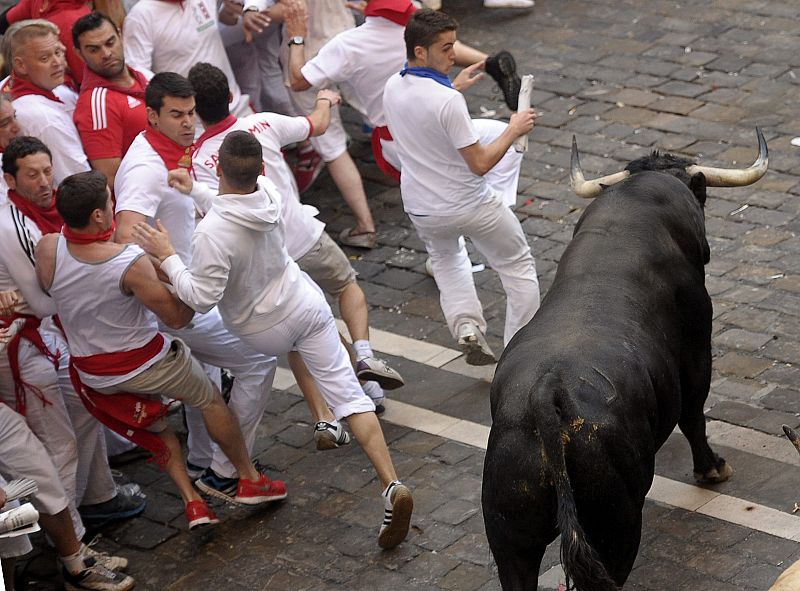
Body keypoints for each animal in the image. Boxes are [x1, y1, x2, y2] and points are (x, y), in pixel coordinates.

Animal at [482, 135, 768, 591]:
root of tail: (547, 393)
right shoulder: (697, 348)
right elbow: (694, 414)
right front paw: (712, 468)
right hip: (615, 527)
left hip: (510, 539)